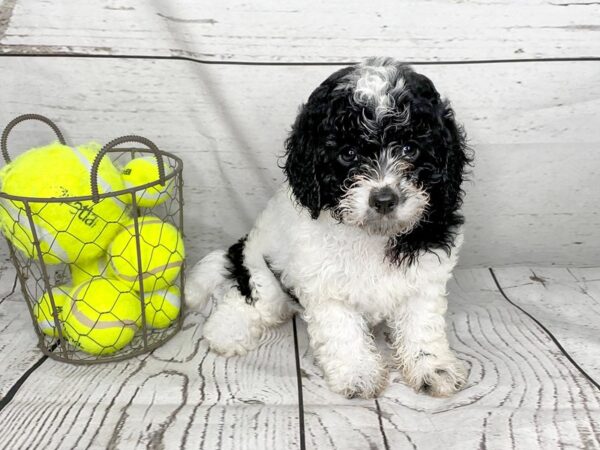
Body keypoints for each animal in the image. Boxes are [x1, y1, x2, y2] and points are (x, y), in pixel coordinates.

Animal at [185, 58, 472, 400]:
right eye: (348, 154)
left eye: (409, 150)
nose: (384, 199)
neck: (371, 236)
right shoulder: (324, 283)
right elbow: (342, 330)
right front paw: (358, 373)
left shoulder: (424, 273)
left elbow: (421, 323)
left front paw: (433, 368)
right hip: (263, 270)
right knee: (252, 297)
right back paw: (226, 330)